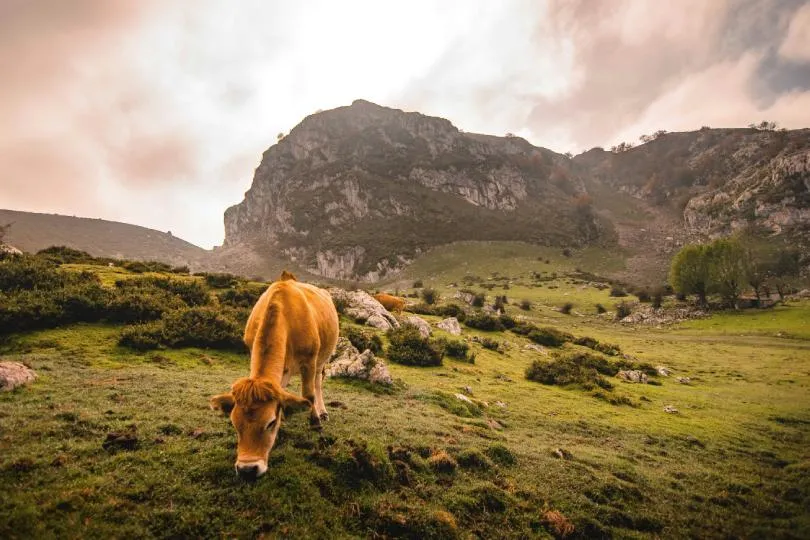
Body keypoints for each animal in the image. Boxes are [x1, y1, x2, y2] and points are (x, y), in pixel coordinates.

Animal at [209, 271, 339, 480]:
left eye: (270, 423)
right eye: (235, 423)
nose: (247, 469)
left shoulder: (309, 360)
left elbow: (308, 394)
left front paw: (315, 422)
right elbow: (282, 391)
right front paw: (284, 416)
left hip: (323, 357)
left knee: (318, 382)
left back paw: (323, 412)